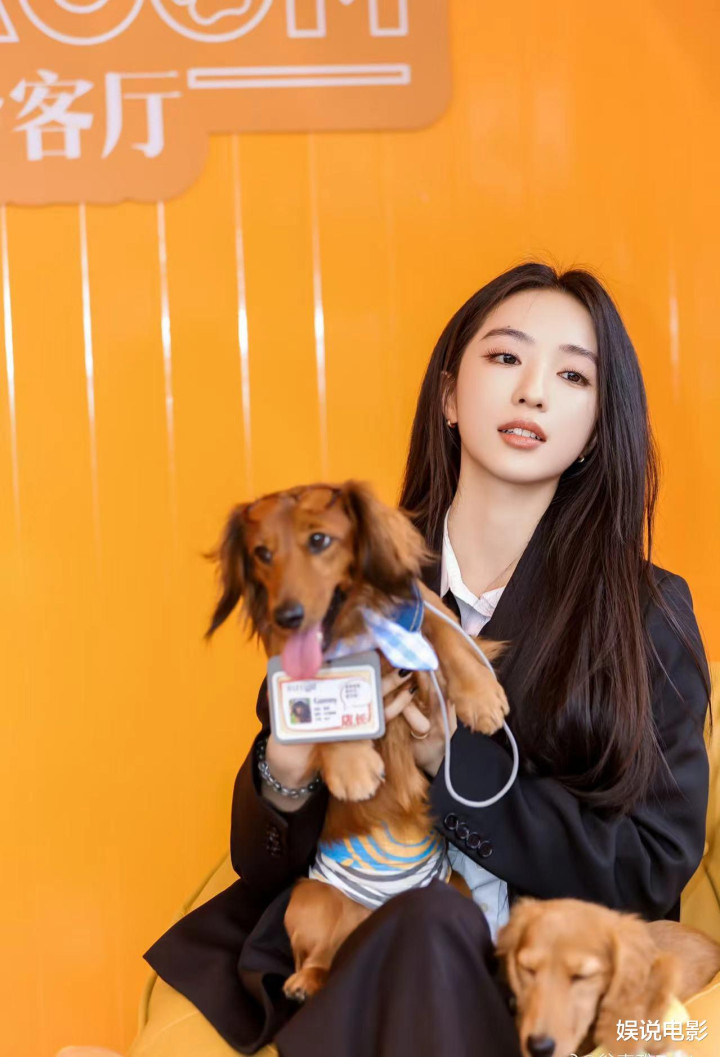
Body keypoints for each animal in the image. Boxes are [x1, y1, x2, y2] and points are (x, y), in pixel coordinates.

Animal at [206, 480, 510, 999]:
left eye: (319, 540)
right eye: (262, 553)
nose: (287, 616)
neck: (355, 628)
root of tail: (375, 914)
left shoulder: (423, 609)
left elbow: (450, 640)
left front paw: (479, 694)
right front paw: (352, 766)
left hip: (456, 889)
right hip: (310, 898)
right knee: (320, 956)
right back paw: (305, 981)